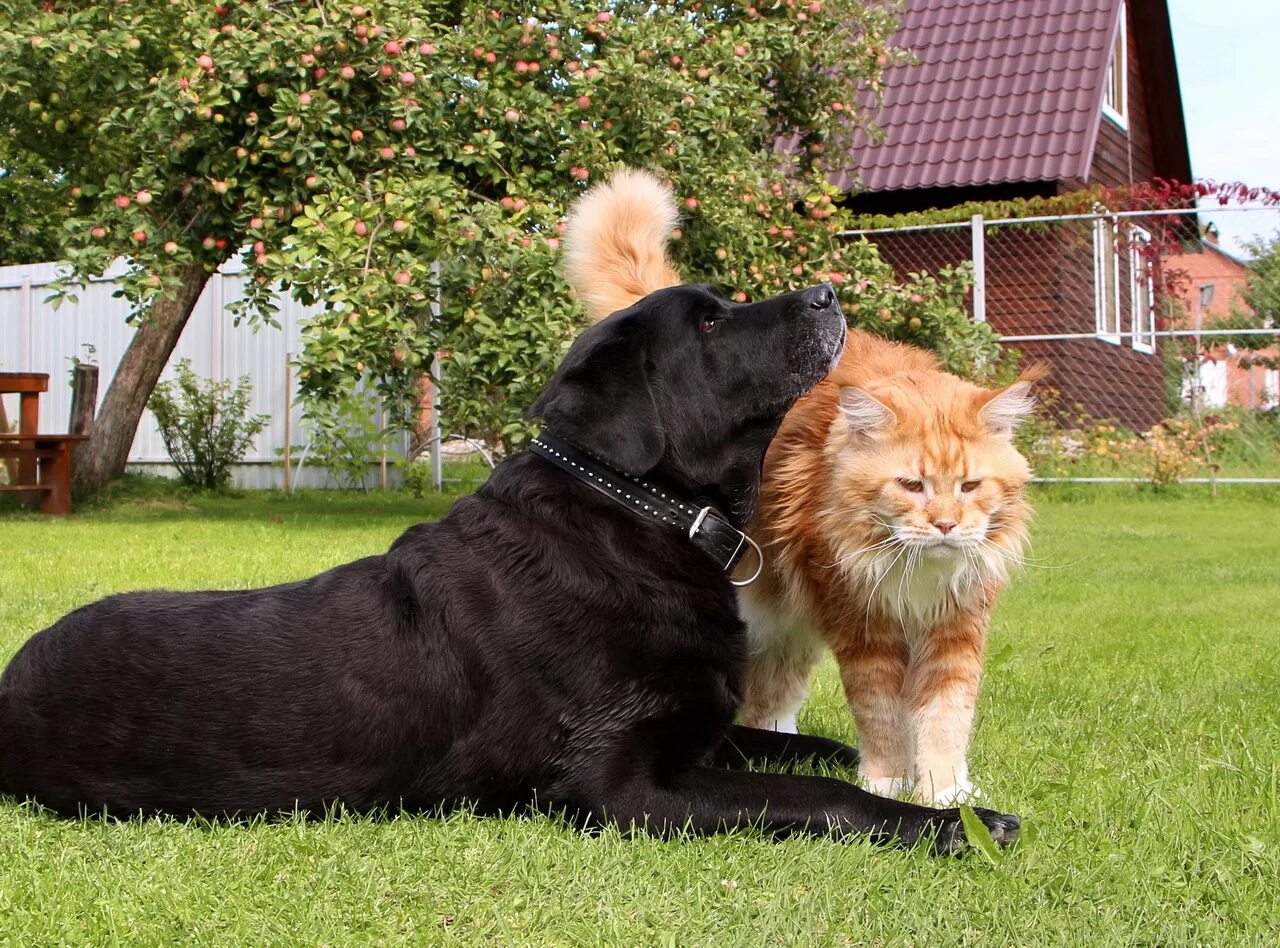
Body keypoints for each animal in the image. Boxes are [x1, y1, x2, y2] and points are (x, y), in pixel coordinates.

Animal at [2, 282, 1018, 849]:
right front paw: (954, 825)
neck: (635, 517)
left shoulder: (698, 727)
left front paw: (902, 771)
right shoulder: (622, 787)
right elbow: (820, 798)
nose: (827, 294)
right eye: (711, 324)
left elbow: (815, 753)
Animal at [563, 168, 1039, 798]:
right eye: (910, 486)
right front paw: (887, 783)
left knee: (774, 693)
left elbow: (943, 716)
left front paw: (944, 792)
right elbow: (882, 714)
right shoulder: (862, 627)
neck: (915, 571)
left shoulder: (955, 627)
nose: (944, 525)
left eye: (969, 487)